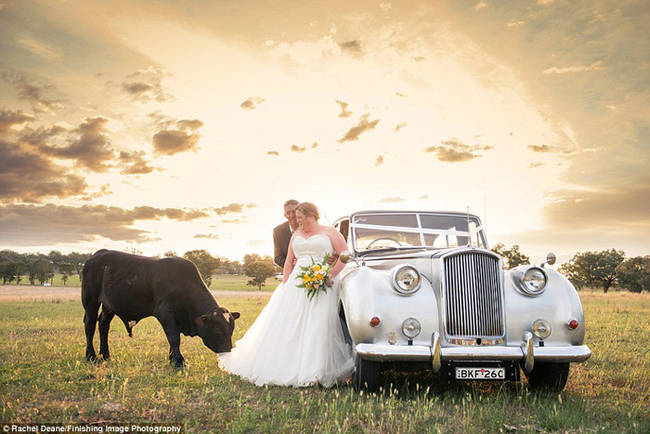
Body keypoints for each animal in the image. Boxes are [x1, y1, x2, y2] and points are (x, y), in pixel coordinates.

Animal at [82, 249, 239, 368]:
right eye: (217, 330)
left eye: (231, 329)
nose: (227, 352)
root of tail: (98, 254)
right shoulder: (165, 313)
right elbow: (174, 338)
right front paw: (179, 362)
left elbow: (173, 339)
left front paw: (172, 359)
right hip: (90, 301)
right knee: (90, 325)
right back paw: (91, 356)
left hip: (109, 306)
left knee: (103, 325)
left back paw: (106, 355)